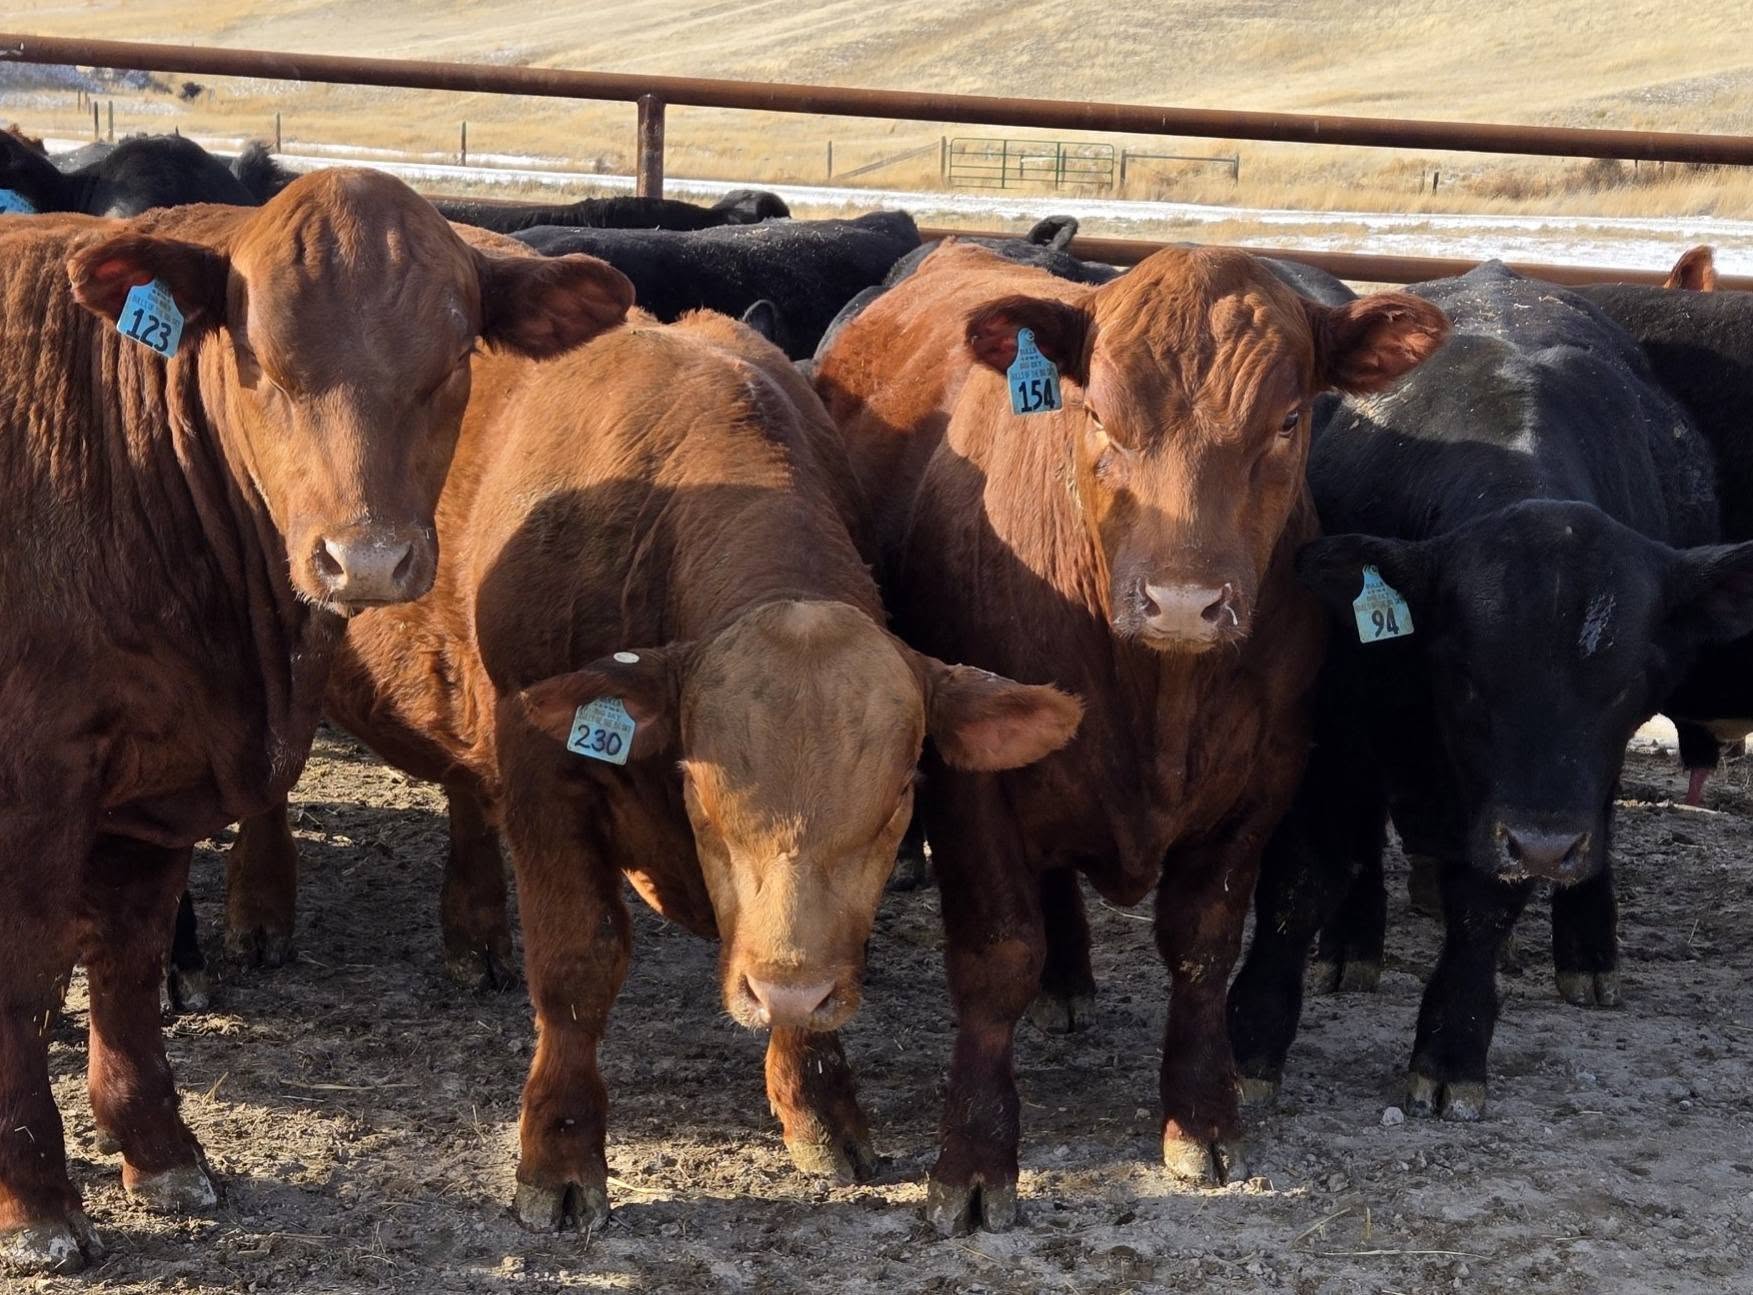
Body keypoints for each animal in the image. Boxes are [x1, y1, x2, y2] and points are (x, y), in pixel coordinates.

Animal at [0, 168, 633, 1275]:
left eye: (454, 359)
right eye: (259, 357)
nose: (367, 558)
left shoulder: (157, 775)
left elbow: (126, 957)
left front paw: (161, 1152)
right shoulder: (31, 783)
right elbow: (25, 981)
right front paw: (35, 1198)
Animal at [211, 304, 1079, 1232]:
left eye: (894, 808)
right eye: (701, 793)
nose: (789, 993)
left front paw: (818, 1106)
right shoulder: (543, 769)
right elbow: (578, 963)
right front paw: (558, 1158)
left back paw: (474, 934)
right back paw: (258, 913)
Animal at [812, 239, 1448, 1232]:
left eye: (1288, 420)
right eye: (1098, 415)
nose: (1184, 602)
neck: (1158, 699)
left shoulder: (1263, 779)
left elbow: (1202, 945)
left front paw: (1202, 1117)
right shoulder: (971, 780)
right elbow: (996, 954)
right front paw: (975, 1157)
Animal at [1226, 263, 1753, 1129]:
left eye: (1627, 686)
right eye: (1467, 671)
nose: (1543, 843)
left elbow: (1482, 907)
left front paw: (1450, 1052)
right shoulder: (1331, 735)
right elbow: (1300, 881)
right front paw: (1250, 1047)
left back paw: (1587, 954)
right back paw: (1351, 948)